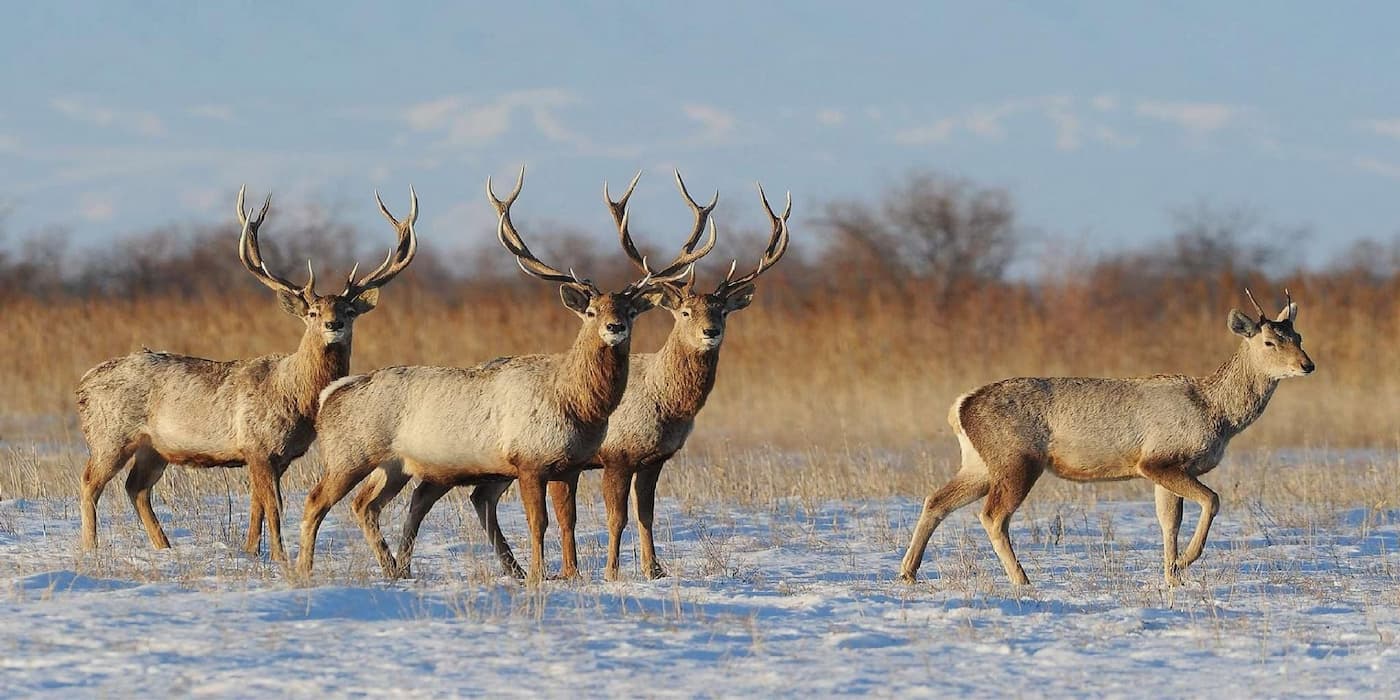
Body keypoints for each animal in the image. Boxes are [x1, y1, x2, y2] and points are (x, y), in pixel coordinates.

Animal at [75, 183, 417, 560]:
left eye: (349, 311)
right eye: (312, 312)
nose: (333, 324)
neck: (295, 396)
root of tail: (84, 383)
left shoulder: (276, 456)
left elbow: (257, 506)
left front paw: (252, 551)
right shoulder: (257, 445)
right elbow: (274, 506)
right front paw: (279, 556)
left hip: (154, 447)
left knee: (135, 488)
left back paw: (164, 547)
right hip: (109, 434)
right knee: (89, 482)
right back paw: (90, 548)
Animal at [295, 166, 711, 582]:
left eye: (630, 310)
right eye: (592, 311)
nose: (614, 327)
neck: (572, 402)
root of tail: (332, 392)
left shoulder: (570, 466)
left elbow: (567, 520)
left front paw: (571, 574)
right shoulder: (529, 459)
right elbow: (538, 522)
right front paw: (541, 575)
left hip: (395, 466)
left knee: (366, 504)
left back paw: (394, 569)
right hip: (350, 453)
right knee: (316, 500)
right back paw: (303, 570)